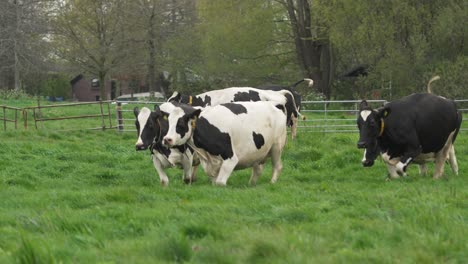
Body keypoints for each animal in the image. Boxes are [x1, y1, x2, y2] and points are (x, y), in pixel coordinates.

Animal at [159, 100, 288, 186]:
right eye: (169, 124)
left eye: (180, 125)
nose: (167, 139)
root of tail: (274, 105)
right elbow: (214, 181)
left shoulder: (231, 158)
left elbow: (220, 183)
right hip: (258, 153)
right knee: (258, 169)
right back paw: (251, 184)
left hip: (277, 147)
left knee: (278, 166)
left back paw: (272, 182)